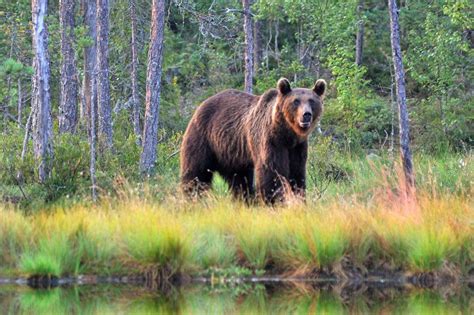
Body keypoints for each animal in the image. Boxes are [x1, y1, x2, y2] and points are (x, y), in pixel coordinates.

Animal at [181, 78, 326, 204]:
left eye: (312, 101)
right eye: (296, 101)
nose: (306, 115)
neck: (286, 134)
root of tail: (201, 104)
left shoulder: (297, 146)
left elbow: (297, 173)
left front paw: (300, 199)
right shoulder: (270, 140)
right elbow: (271, 170)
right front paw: (273, 201)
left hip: (232, 153)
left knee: (239, 179)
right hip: (203, 137)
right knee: (196, 171)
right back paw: (191, 198)